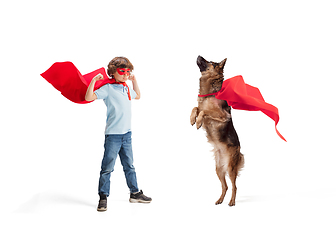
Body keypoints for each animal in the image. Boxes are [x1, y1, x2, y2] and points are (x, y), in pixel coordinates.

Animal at [189, 55, 244, 205]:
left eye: (211, 62)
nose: (198, 55)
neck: (209, 93)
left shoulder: (222, 115)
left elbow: (204, 112)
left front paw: (198, 122)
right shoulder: (200, 107)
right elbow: (195, 108)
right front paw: (192, 119)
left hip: (231, 168)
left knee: (234, 186)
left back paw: (232, 202)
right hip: (218, 169)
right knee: (225, 186)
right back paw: (220, 200)